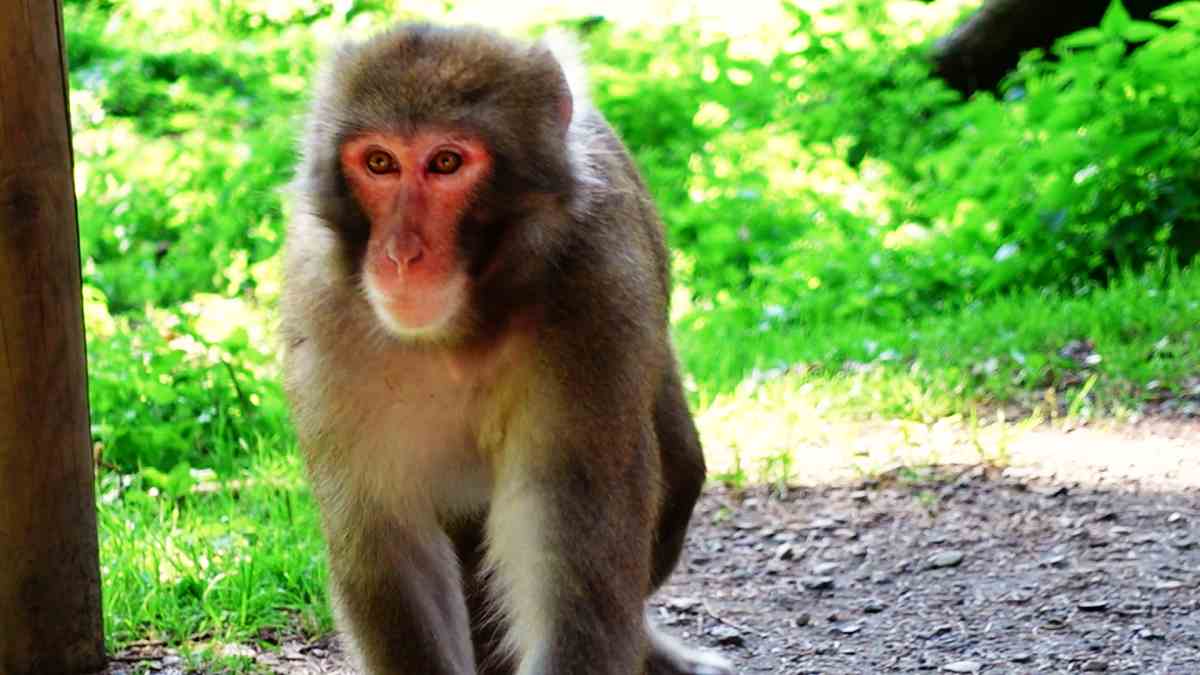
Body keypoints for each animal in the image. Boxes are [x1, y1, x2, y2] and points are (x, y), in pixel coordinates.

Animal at [279, 22, 729, 672]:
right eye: (379, 163)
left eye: (446, 162)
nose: (399, 254)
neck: (456, 332)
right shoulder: (327, 322)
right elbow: (392, 550)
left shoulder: (594, 306)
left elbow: (571, 561)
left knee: (678, 479)